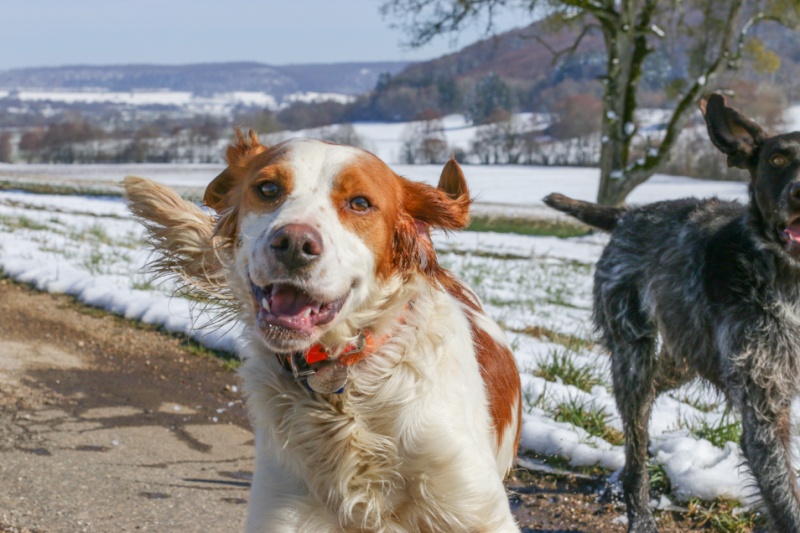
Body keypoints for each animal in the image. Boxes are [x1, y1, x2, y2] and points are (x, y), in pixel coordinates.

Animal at [548, 93, 800, 528]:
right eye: (778, 159)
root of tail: (628, 214)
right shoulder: (765, 411)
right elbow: (788, 505)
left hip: (684, 357)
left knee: (649, 404)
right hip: (632, 354)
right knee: (636, 440)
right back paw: (639, 511)